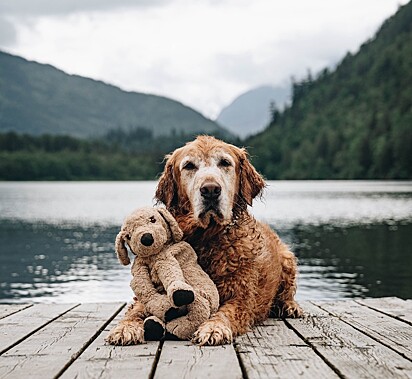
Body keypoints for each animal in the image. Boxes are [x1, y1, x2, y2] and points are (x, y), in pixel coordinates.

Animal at [106, 137, 300, 348]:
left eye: (225, 162)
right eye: (189, 165)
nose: (210, 190)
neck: (206, 236)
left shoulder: (241, 298)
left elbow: (226, 313)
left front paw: (213, 327)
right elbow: (136, 308)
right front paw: (125, 327)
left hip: (288, 259)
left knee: (287, 292)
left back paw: (290, 306)